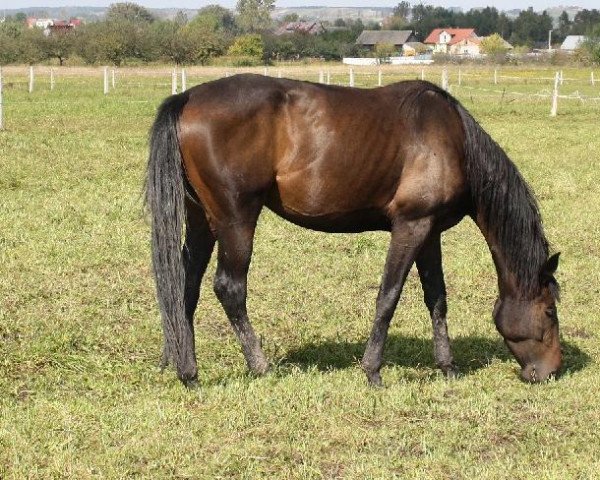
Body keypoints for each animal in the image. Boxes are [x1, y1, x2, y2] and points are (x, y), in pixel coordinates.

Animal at [146, 76, 564, 390]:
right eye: (549, 310)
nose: (551, 372)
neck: (454, 140)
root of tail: (186, 98)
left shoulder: (430, 232)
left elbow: (437, 298)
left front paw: (447, 367)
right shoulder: (411, 226)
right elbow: (388, 296)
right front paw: (373, 371)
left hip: (202, 220)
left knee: (184, 287)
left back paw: (184, 368)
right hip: (235, 220)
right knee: (229, 288)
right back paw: (258, 365)